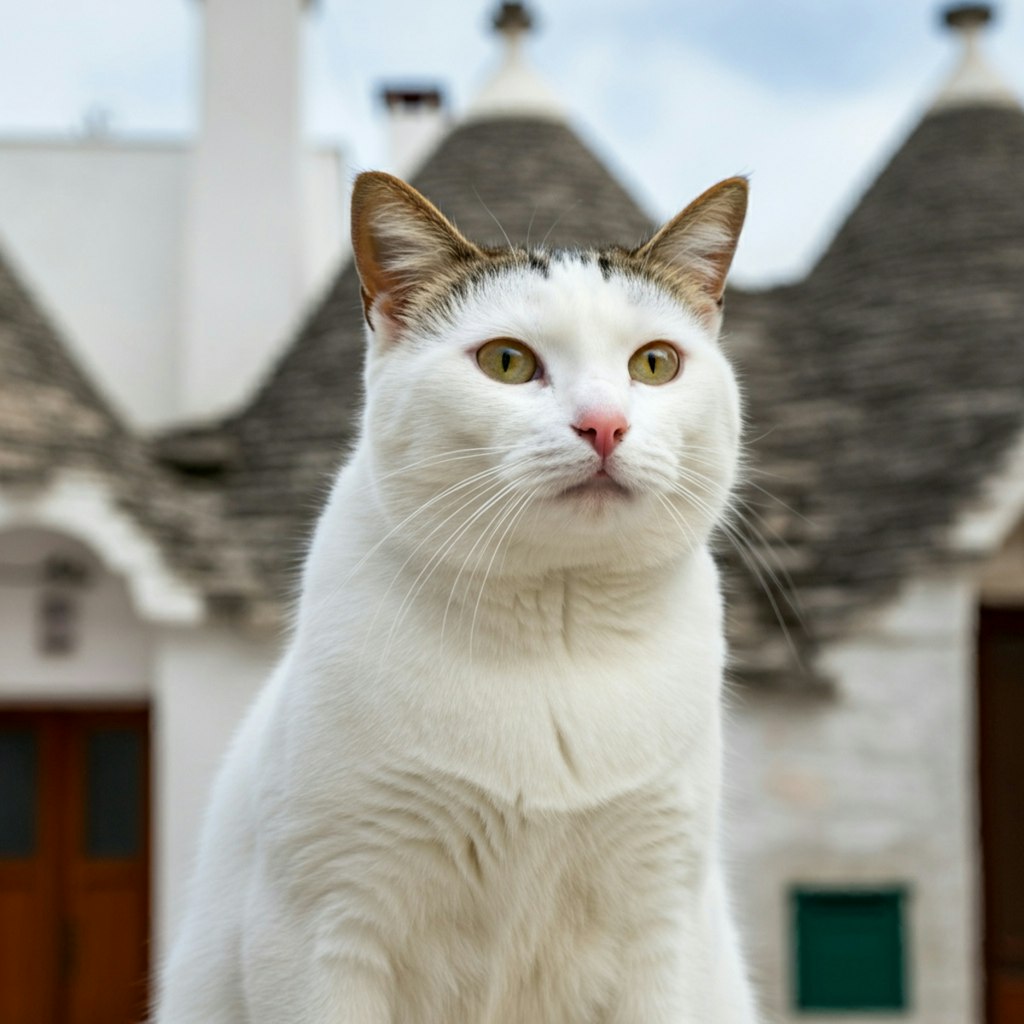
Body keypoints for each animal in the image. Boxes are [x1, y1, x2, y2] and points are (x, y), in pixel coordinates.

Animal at [153, 172, 761, 1019]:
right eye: (507, 362)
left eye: (654, 364)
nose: (604, 425)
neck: (555, 634)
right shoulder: (319, 927)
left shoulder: (658, 923)